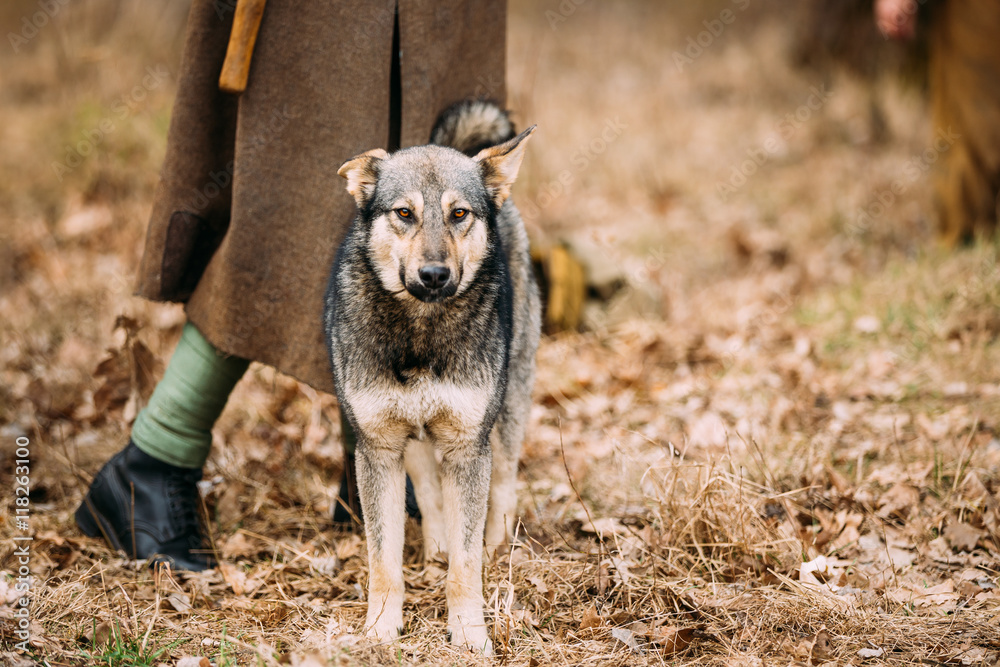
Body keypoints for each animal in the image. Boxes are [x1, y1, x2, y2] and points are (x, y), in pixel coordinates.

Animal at [324, 102, 540, 656]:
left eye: (459, 214)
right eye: (404, 214)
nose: (435, 276)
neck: (421, 330)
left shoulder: (467, 445)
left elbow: (466, 566)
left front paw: (468, 632)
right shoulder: (377, 447)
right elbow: (384, 560)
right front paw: (381, 628)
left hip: (508, 406)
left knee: (504, 483)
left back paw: (498, 545)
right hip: (410, 434)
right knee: (426, 481)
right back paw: (436, 543)